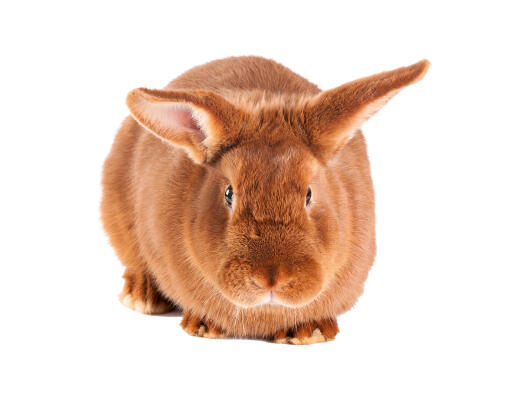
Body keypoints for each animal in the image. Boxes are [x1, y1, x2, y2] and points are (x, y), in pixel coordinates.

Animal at [102, 56, 430, 344]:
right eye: (229, 193)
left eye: (309, 194)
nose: (271, 278)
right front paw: (204, 325)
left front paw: (307, 332)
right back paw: (142, 295)